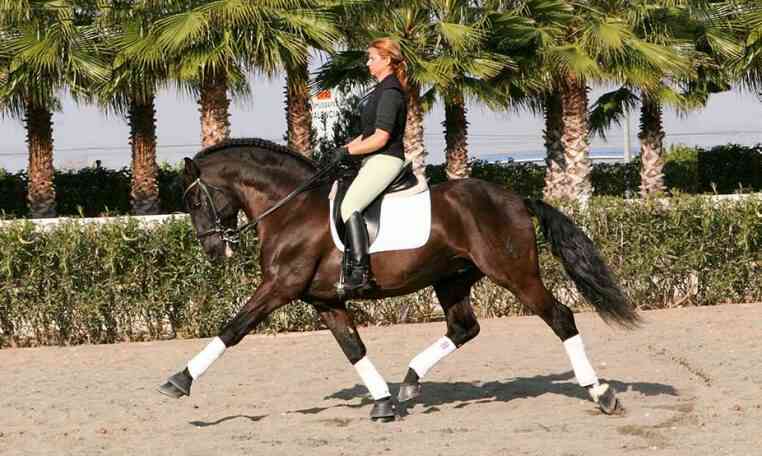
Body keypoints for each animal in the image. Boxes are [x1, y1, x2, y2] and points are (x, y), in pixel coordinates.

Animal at [158, 138, 640, 421]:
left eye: (194, 202)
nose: (213, 250)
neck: (290, 209)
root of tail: (517, 198)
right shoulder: (324, 300)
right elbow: (353, 348)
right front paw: (384, 402)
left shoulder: (279, 287)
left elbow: (233, 329)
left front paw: (178, 381)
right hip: (451, 279)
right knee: (463, 327)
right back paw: (409, 382)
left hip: (515, 274)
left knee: (560, 317)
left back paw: (600, 393)